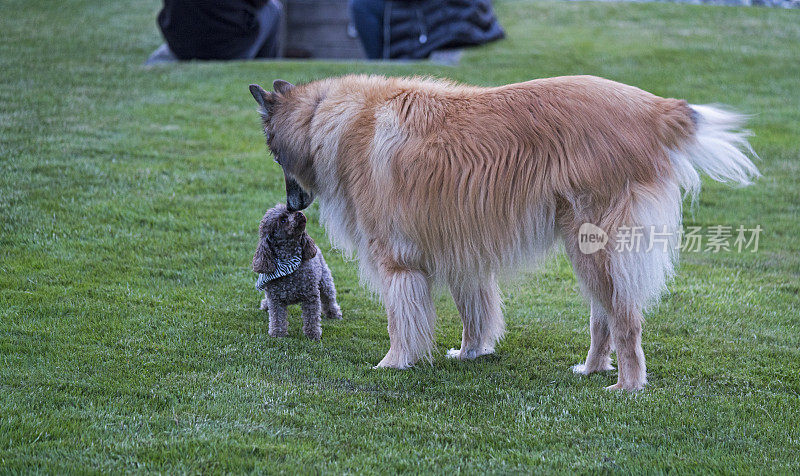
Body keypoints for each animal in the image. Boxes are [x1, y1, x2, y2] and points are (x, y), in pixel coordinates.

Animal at [252, 204, 342, 338]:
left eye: (292, 211)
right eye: (283, 220)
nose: (299, 213)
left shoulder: (311, 296)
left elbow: (312, 318)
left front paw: (313, 334)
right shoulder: (275, 299)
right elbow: (277, 318)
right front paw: (277, 334)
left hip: (325, 282)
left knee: (329, 299)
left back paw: (334, 313)